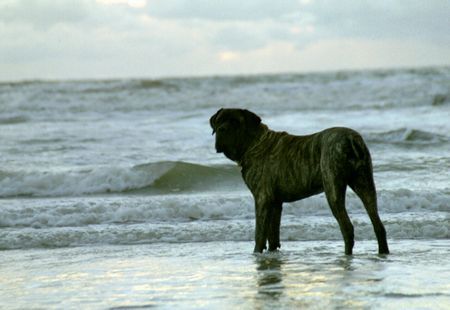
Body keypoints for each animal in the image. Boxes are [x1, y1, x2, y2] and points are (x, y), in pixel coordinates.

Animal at [209, 109, 388, 254]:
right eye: (218, 121)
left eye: (235, 122)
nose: (222, 129)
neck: (254, 142)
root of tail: (351, 138)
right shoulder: (275, 203)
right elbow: (273, 234)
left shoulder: (262, 199)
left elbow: (260, 234)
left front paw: (257, 253)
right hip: (365, 184)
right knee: (378, 224)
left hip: (333, 189)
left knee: (347, 227)